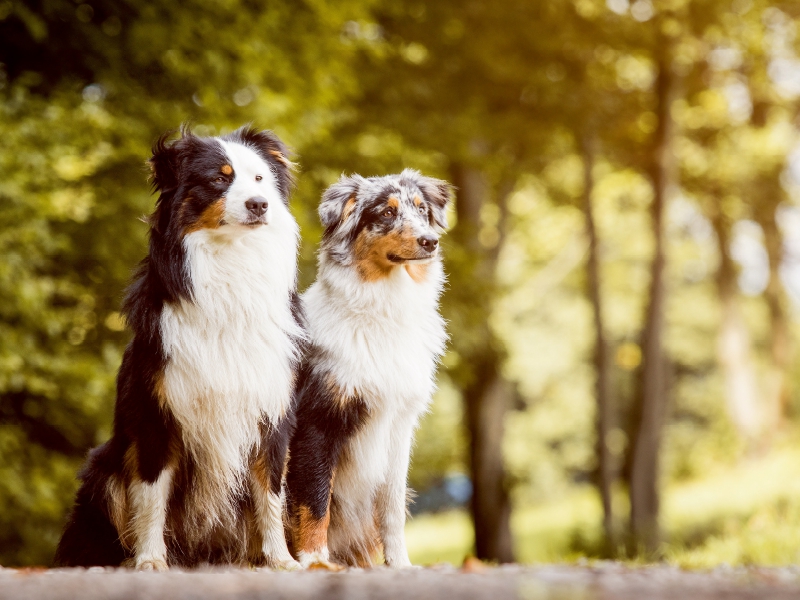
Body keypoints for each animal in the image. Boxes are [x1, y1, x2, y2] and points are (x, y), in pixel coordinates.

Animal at [53, 125, 304, 568]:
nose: (259, 204)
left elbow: (271, 492)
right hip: (104, 468)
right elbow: (152, 493)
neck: (230, 266)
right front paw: (151, 560)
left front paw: (280, 560)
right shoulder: (158, 412)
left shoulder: (273, 413)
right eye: (219, 179)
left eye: (260, 179)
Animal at [286, 169, 450, 568]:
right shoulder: (318, 420)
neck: (384, 310)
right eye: (387, 213)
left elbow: (391, 506)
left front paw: (400, 564)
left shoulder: (399, 425)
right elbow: (315, 498)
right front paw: (315, 561)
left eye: (422, 210)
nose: (430, 241)